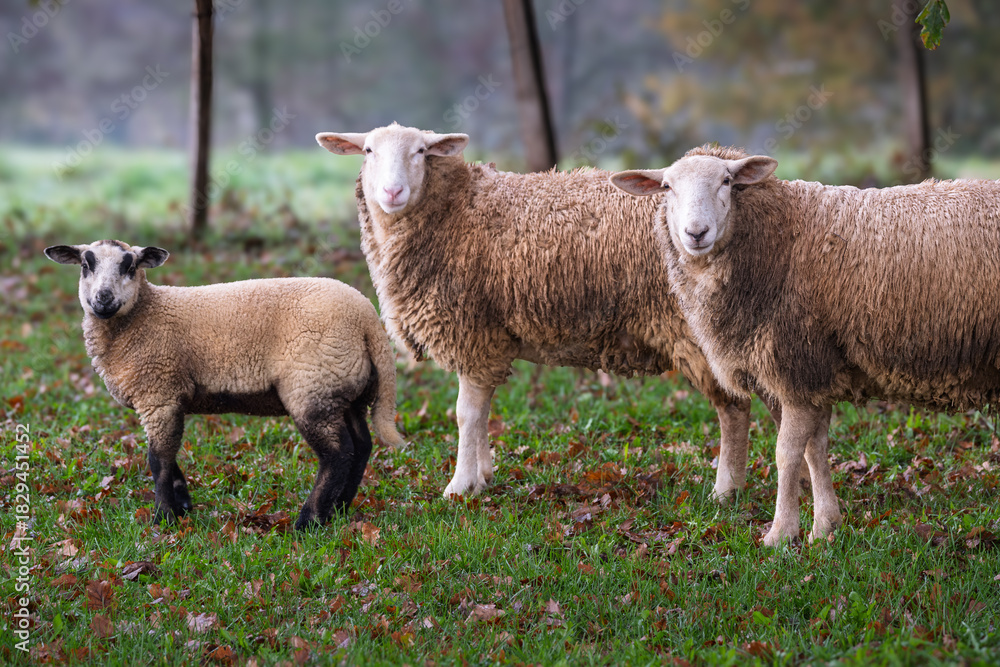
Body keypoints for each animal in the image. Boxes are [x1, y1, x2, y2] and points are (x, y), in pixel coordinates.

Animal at [44, 239, 404, 530]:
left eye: (130, 266)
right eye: (85, 265)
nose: (102, 299)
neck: (146, 314)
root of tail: (367, 319)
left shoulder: (159, 393)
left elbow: (158, 459)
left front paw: (163, 518)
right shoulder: (166, 398)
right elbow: (167, 455)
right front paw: (183, 504)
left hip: (313, 386)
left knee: (337, 454)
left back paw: (309, 521)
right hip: (345, 389)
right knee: (362, 446)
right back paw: (340, 510)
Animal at [315, 123, 778, 501]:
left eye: (421, 152)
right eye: (368, 151)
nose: (392, 193)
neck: (455, 210)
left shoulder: (473, 331)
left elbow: (465, 414)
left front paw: (460, 485)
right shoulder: (490, 338)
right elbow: (481, 413)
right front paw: (483, 475)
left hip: (700, 333)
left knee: (734, 408)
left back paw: (726, 490)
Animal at [610, 145, 1000, 546]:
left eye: (727, 181)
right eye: (667, 187)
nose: (696, 232)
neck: (782, 239)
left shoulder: (797, 365)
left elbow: (787, 453)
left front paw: (781, 533)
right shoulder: (816, 369)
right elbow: (815, 449)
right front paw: (825, 526)